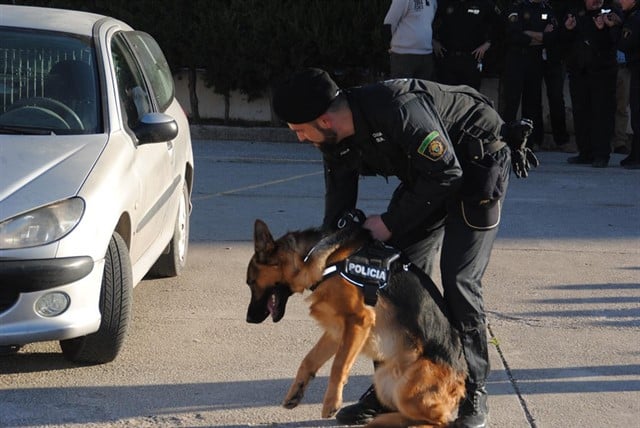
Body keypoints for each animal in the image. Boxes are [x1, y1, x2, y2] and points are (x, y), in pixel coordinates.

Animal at [248, 219, 468, 426]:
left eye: (251, 282)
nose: (248, 318)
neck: (314, 257)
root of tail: (461, 381)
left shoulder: (358, 321)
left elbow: (338, 365)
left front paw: (331, 402)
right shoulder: (337, 330)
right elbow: (309, 360)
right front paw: (296, 392)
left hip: (406, 389)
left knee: (441, 421)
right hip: (383, 379)